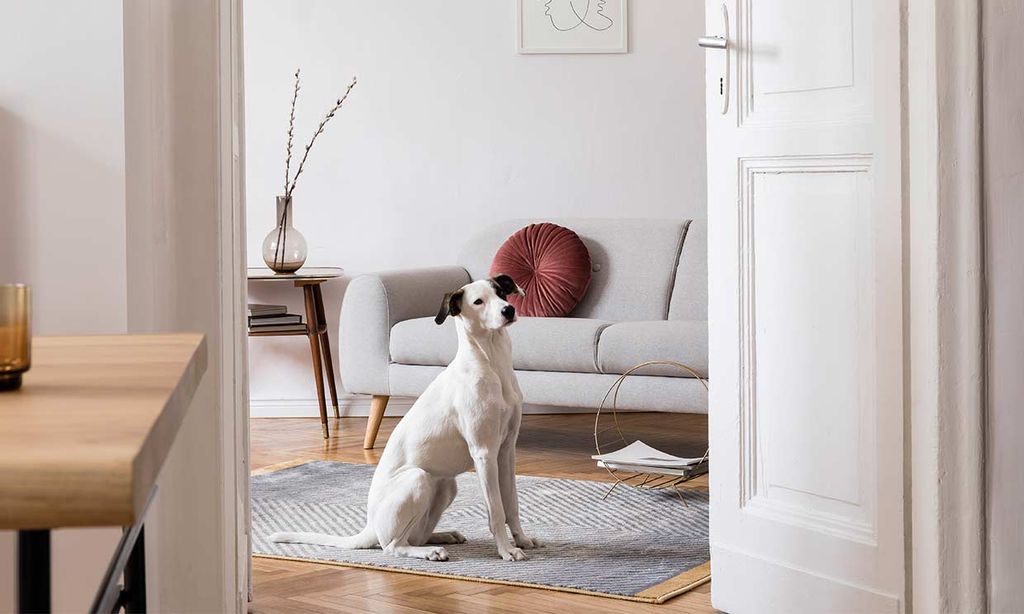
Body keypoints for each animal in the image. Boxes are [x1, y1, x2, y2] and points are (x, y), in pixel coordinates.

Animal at [272, 276, 544, 564]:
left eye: (501, 292)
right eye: (478, 301)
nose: (509, 310)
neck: (492, 362)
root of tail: (370, 525)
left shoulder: (506, 451)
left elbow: (511, 503)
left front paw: (522, 540)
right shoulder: (484, 453)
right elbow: (496, 511)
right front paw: (506, 550)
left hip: (445, 484)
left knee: (415, 536)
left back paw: (443, 536)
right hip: (417, 479)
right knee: (392, 545)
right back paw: (430, 551)